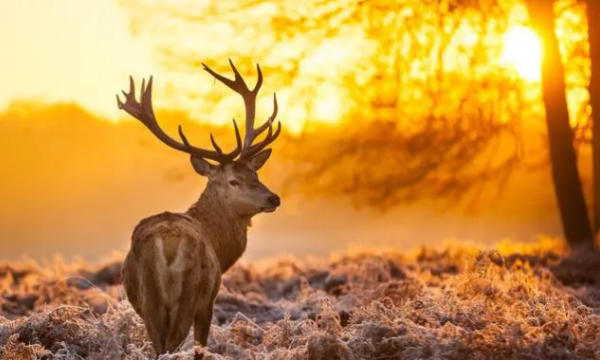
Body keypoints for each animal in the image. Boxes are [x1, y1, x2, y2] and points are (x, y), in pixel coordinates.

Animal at [116, 59, 282, 358]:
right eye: (234, 180)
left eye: (256, 174)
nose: (273, 198)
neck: (219, 244)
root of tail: (168, 242)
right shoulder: (209, 301)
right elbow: (201, 346)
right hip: (189, 294)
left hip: (149, 302)